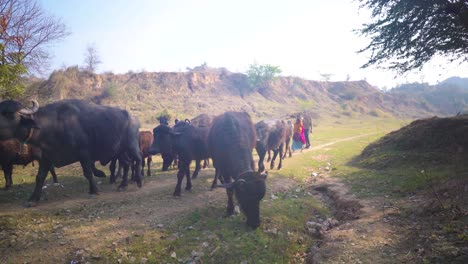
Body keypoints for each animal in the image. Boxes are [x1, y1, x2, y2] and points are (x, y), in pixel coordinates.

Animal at [0, 99, 143, 206]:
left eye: (9, 113)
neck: (53, 125)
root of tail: (133, 118)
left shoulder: (84, 153)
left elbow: (88, 173)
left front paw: (94, 191)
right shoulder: (46, 157)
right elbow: (39, 177)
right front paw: (32, 199)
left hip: (131, 145)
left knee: (138, 158)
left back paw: (139, 180)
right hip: (120, 151)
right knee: (126, 164)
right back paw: (123, 185)